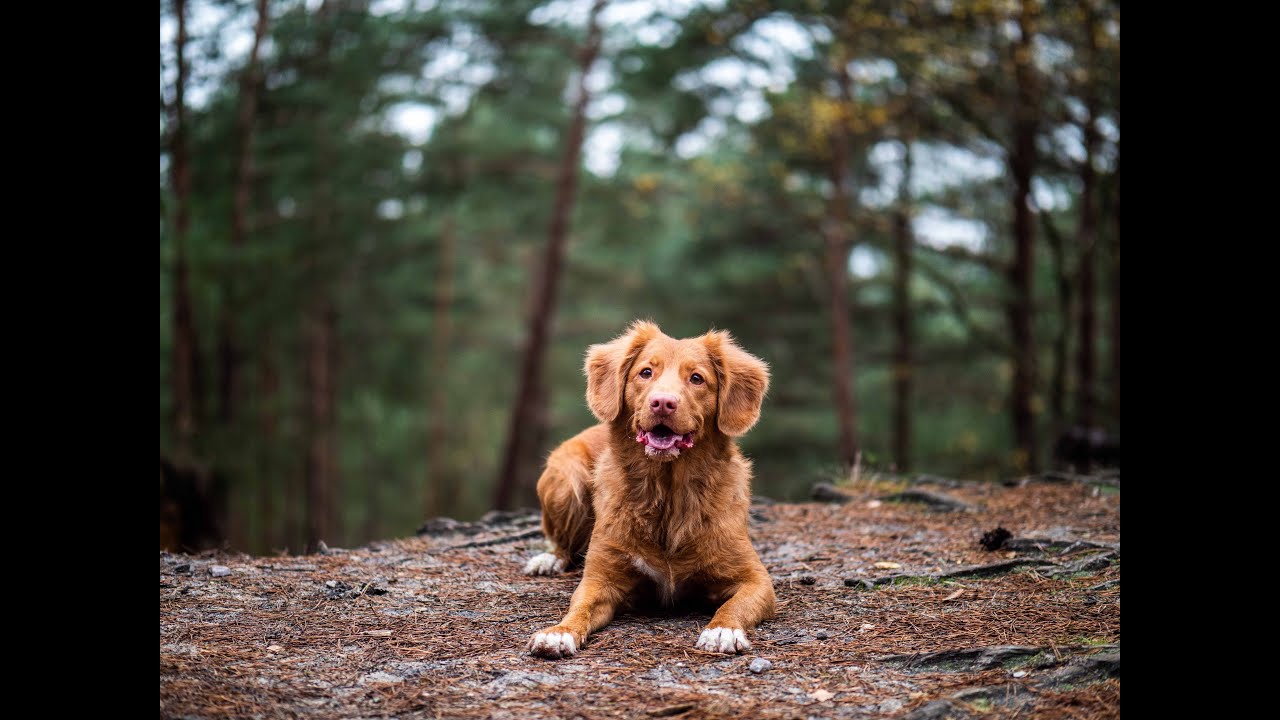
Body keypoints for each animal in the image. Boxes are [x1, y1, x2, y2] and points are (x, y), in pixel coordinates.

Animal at [519, 319, 768, 655]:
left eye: (697, 378)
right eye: (646, 372)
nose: (662, 402)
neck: (668, 493)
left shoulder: (755, 578)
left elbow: (733, 605)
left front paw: (722, 631)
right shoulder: (600, 579)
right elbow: (578, 608)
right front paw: (559, 632)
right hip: (564, 479)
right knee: (562, 544)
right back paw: (548, 559)